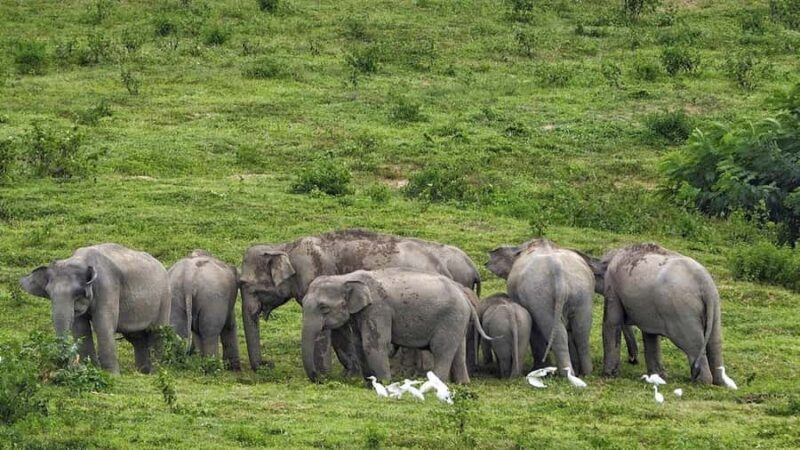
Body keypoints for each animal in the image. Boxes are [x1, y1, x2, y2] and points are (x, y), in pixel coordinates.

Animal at [20, 243, 170, 374]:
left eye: (77, 293)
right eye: (49, 294)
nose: (68, 366)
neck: (80, 260)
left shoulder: (107, 286)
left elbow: (102, 325)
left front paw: (112, 376)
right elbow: (80, 328)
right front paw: (90, 369)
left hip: (164, 297)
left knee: (157, 333)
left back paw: (155, 373)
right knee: (137, 338)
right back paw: (142, 373)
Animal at [239, 228, 481, 372]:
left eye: (245, 284)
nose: (267, 364)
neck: (283, 247)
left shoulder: (314, 272)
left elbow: (328, 330)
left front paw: (326, 375)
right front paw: (352, 370)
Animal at [300, 268, 492, 383]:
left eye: (323, 308)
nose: (319, 379)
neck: (346, 278)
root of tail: (464, 295)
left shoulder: (378, 309)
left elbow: (375, 344)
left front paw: (384, 384)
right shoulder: (360, 314)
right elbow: (359, 344)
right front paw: (370, 384)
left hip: (451, 317)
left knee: (441, 350)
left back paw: (435, 384)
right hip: (458, 320)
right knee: (458, 351)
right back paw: (462, 384)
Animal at [487, 238, 595, 378]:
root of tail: (558, 271)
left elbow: (535, 331)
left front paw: (539, 368)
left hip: (539, 297)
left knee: (556, 332)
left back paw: (563, 374)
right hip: (582, 293)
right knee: (581, 331)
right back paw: (586, 373)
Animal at [589, 243, 732, 385]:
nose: (633, 360)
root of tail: (705, 283)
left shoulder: (612, 288)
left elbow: (611, 323)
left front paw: (607, 375)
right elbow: (649, 335)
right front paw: (659, 376)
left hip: (682, 311)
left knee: (693, 346)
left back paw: (701, 381)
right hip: (715, 307)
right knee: (715, 343)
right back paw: (720, 382)